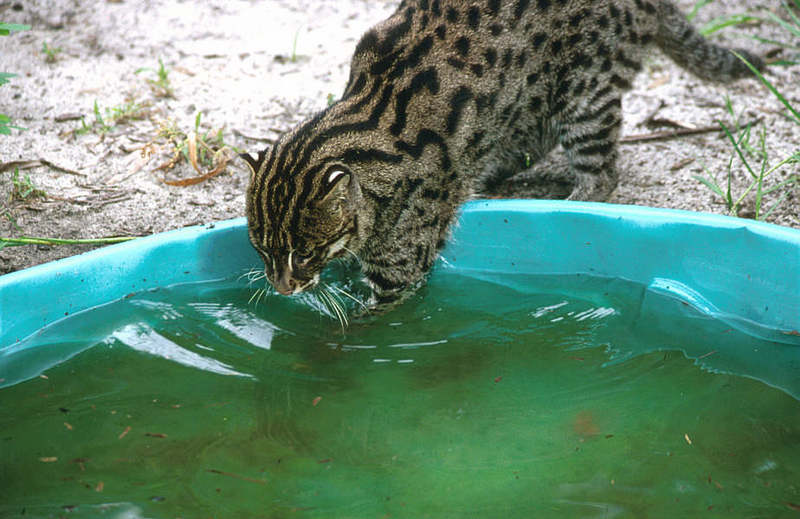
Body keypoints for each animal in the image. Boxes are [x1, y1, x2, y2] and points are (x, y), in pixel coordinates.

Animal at [242, 0, 764, 312]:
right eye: (260, 248)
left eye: (304, 252)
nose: (281, 288)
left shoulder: (400, 272)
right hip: (529, 105)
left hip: (585, 89)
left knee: (600, 174)